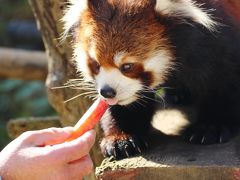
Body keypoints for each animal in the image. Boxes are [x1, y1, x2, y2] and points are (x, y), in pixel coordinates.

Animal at [62, 0, 240, 159]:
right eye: (96, 64)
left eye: (127, 66)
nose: (107, 92)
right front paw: (122, 138)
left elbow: (221, 84)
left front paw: (211, 127)